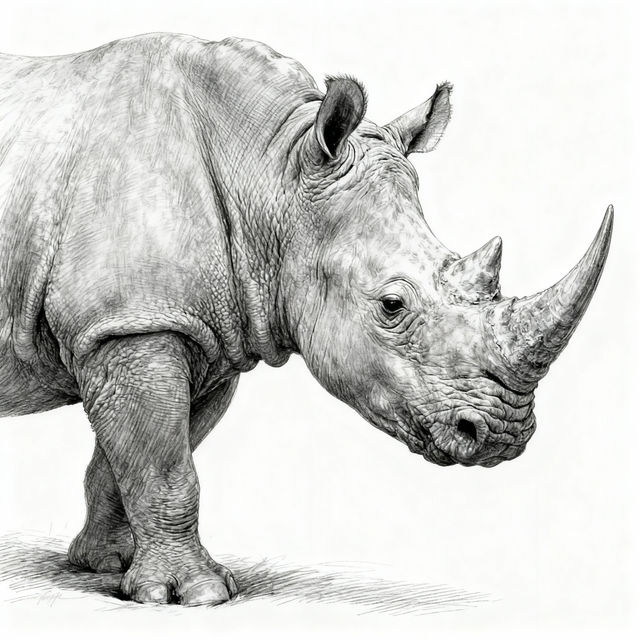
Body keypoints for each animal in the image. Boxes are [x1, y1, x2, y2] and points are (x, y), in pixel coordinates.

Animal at [0, 33, 612, 606]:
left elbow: (133, 458)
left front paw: (108, 567)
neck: (273, 169)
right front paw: (193, 595)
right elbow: (165, 466)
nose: (503, 435)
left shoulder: (191, 331)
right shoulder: (134, 323)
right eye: (392, 306)